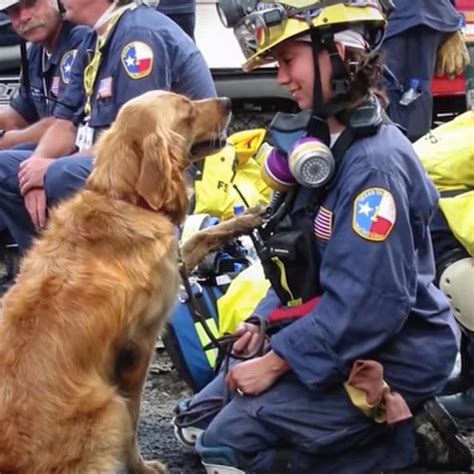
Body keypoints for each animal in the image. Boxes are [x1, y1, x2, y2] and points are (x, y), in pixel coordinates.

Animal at [0, 90, 231, 472]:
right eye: (186, 107)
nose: (227, 100)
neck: (123, 199)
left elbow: (200, 237)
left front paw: (246, 220)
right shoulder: (139, 347)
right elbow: (134, 420)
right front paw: (142, 466)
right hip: (109, 409)